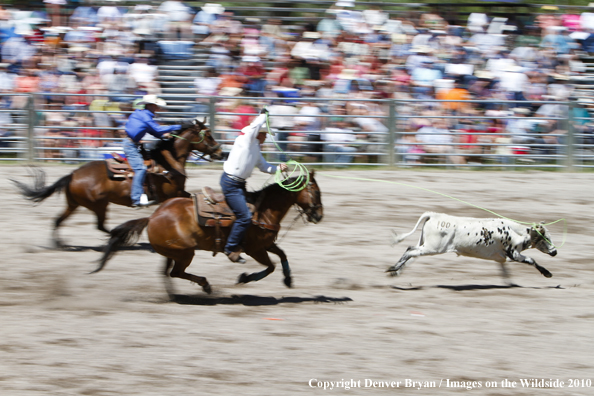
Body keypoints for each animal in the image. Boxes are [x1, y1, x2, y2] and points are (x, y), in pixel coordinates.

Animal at [13, 119, 222, 246]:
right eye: (208, 135)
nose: (220, 152)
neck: (169, 161)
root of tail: (72, 174)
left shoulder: (176, 193)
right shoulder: (173, 193)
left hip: (74, 204)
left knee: (58, 220)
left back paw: (60, 244)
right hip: (98, 204)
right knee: (99, 225)